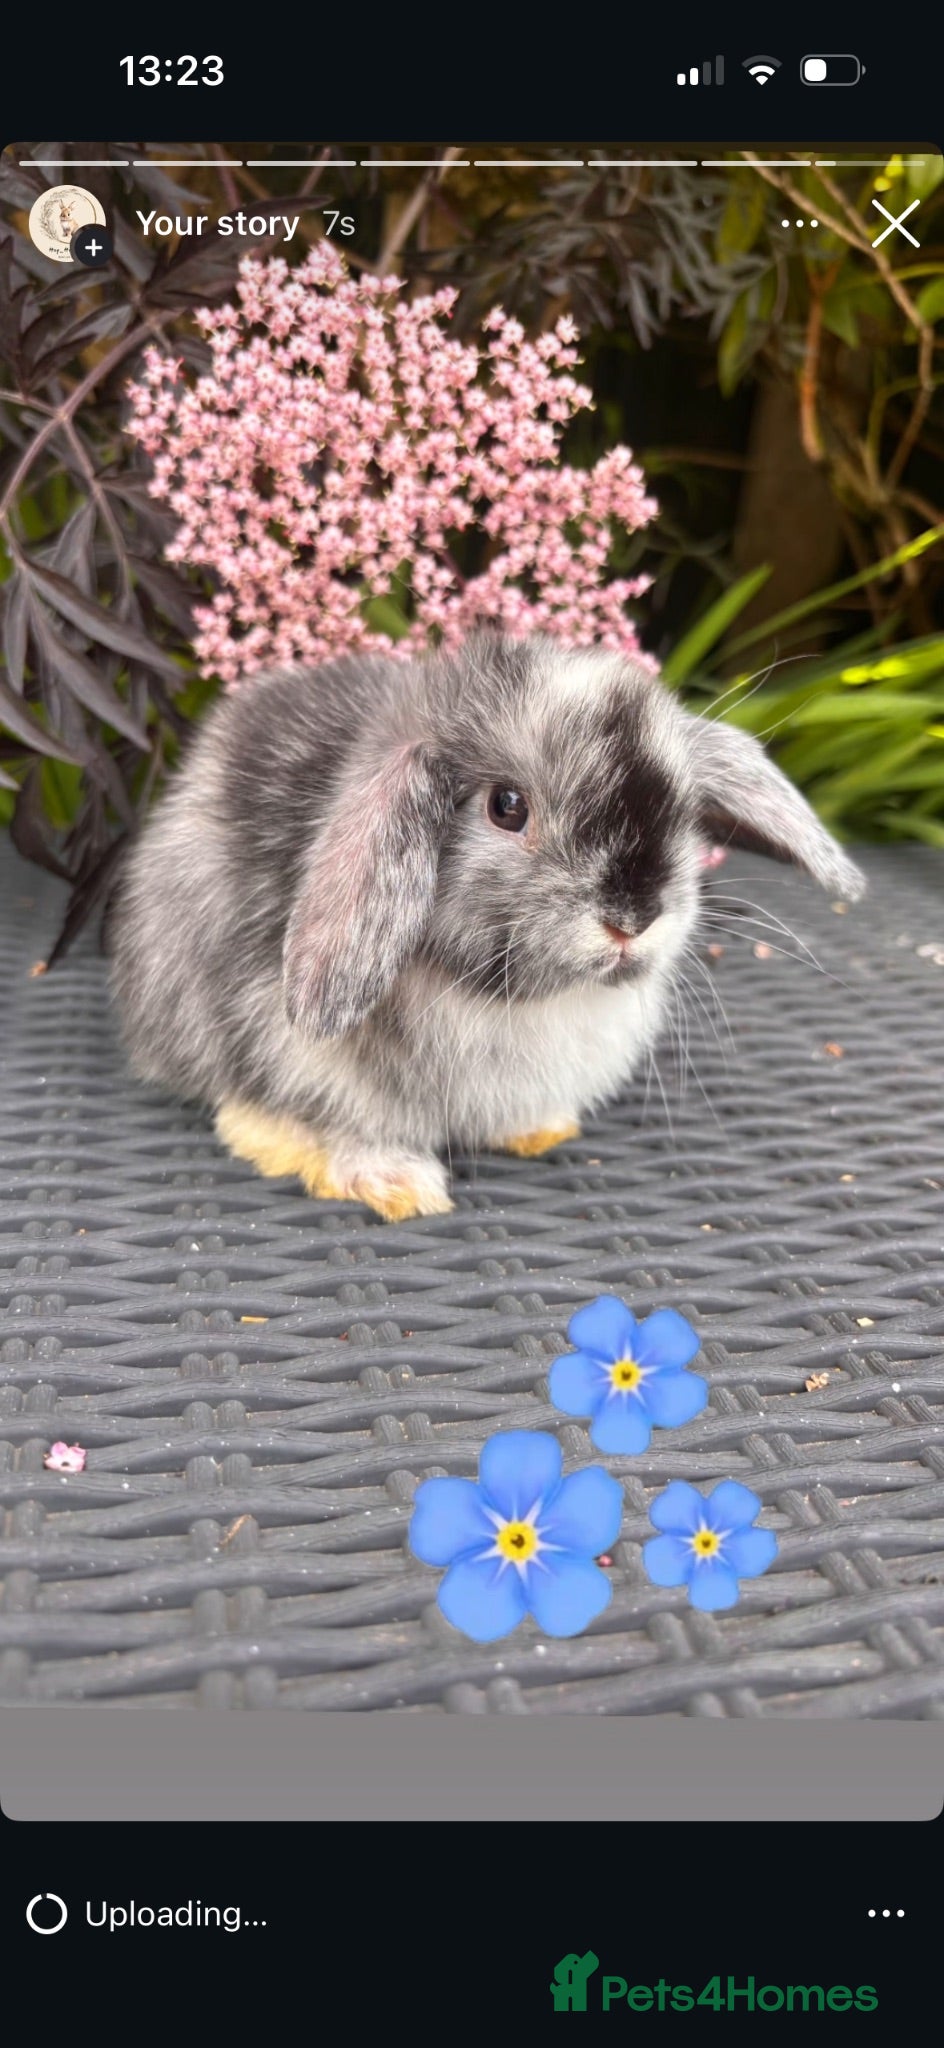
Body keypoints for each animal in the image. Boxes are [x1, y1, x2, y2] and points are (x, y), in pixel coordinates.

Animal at [107, 631, 866, 1221]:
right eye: (506, 806)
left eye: (681, 813)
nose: (633, 918)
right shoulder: (286, 1047)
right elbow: (300, 1122)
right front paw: (397, 1185)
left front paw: (542, 1129)